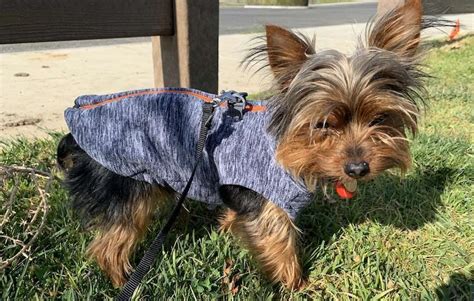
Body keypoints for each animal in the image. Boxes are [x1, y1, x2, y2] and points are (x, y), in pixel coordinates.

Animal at [59, 1, 434, 290]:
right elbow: (281, 247)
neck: (287, 149)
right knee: (110, 244)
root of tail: (76, 117)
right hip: (126, 185)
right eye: (324, 124)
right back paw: (125, 282)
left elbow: (236, 216)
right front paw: (298, 286)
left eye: (380, 119)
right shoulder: (270, 205)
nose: (358, 168)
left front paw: (227, 229)